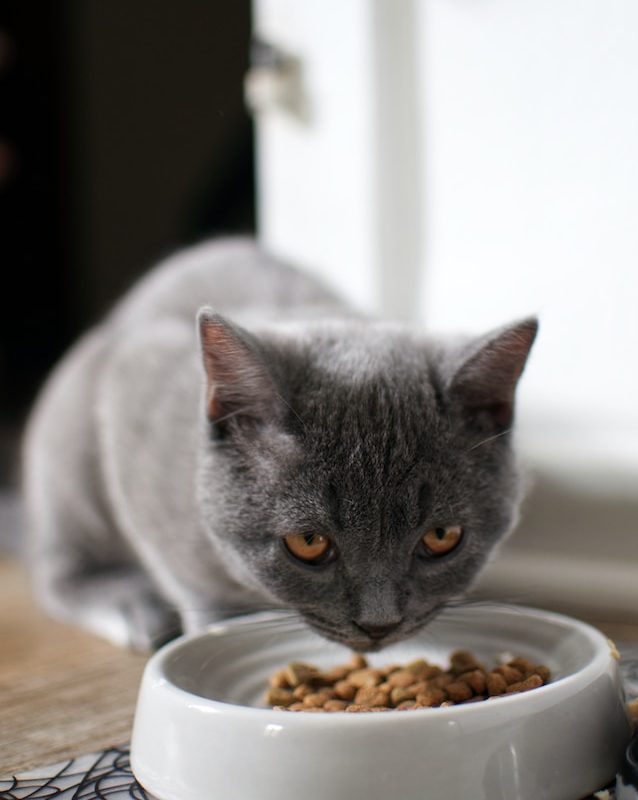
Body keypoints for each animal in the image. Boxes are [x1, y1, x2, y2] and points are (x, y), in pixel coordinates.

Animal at [22, 238, 536, 648]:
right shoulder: (133, 397)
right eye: (308, 543)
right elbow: (189, 579)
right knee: (57, 570)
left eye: (441, 537)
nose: (379, 625)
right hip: (69, 438)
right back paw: (129, 607)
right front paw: (213, 626)